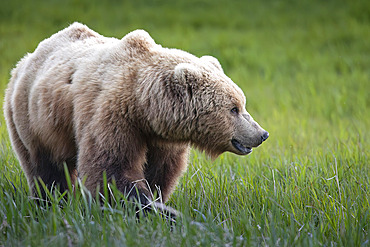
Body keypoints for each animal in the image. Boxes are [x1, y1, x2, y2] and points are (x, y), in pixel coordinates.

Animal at [2, 23, 268, 208]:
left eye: (242, 104)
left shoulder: (161, 138)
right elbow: (111, 169)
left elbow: (160, 172)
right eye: (233, 108)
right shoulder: (112, 117)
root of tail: (26, 60)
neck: (143, 107)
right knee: (45, 171)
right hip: (32, 120)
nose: (261, 134)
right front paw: (148, 208)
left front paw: (157, 201)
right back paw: (50, 202)